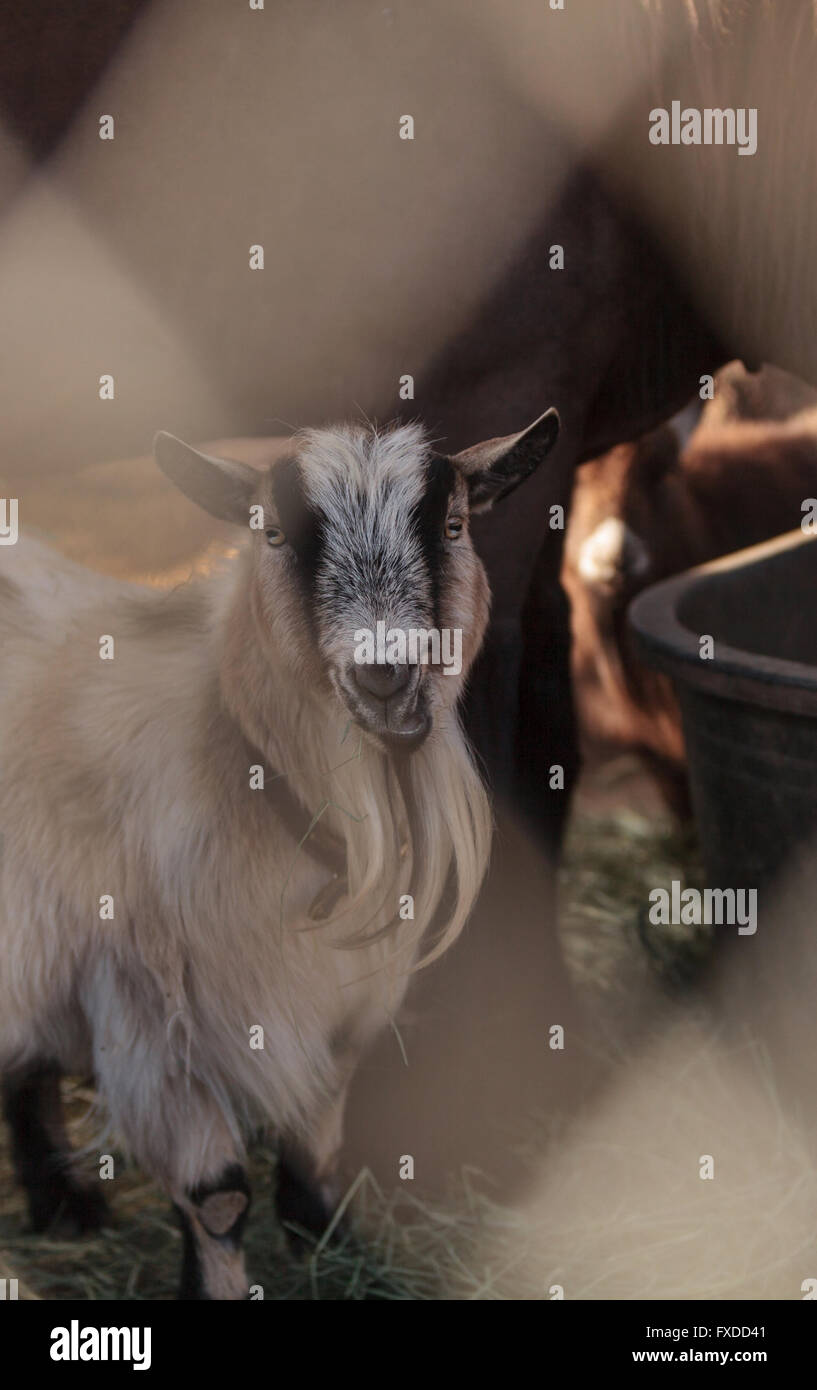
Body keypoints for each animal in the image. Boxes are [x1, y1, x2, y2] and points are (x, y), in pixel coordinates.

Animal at [0, 405, 558, 1295]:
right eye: (270, 534)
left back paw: (65, 1205)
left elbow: (320, 1141)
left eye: (454, 524)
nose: (383, 675)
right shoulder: (146, 1007)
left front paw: (334, 1245)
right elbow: (218, 1194)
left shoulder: (337, 1002)